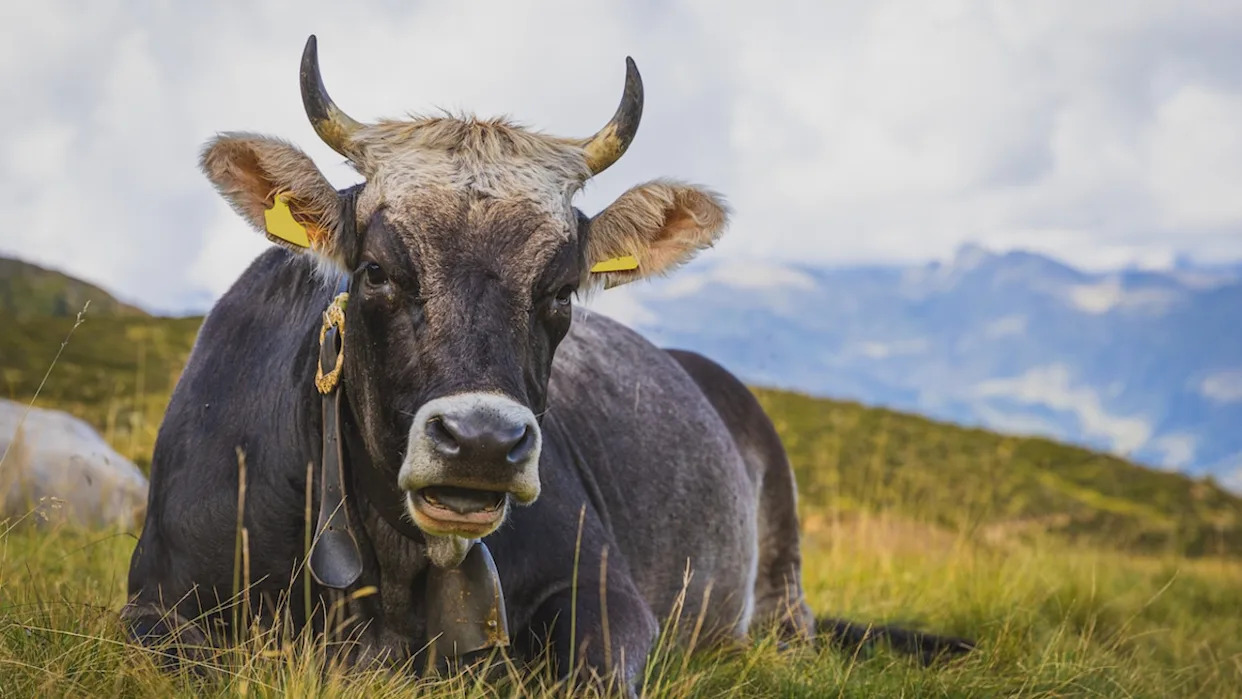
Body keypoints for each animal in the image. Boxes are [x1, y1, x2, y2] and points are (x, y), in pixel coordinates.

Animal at [122, 35, 972, 694]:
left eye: (561, 289)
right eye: (376, 271)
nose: (482, 442)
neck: (393, 573)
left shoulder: (606, 593)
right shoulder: (158, 606)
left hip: (782, 586)